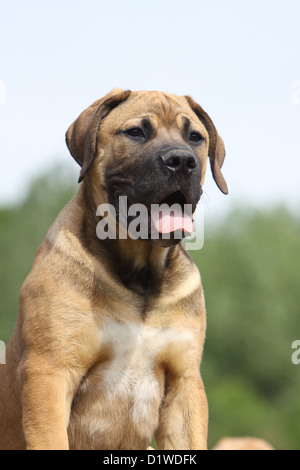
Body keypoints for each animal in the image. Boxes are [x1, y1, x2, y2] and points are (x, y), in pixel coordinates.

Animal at [0, 88, 227, 452]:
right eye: (136, 132)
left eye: (195, 137)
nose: (182, 161)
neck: (142, 275)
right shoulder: (50, 370)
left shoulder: (184, 381)